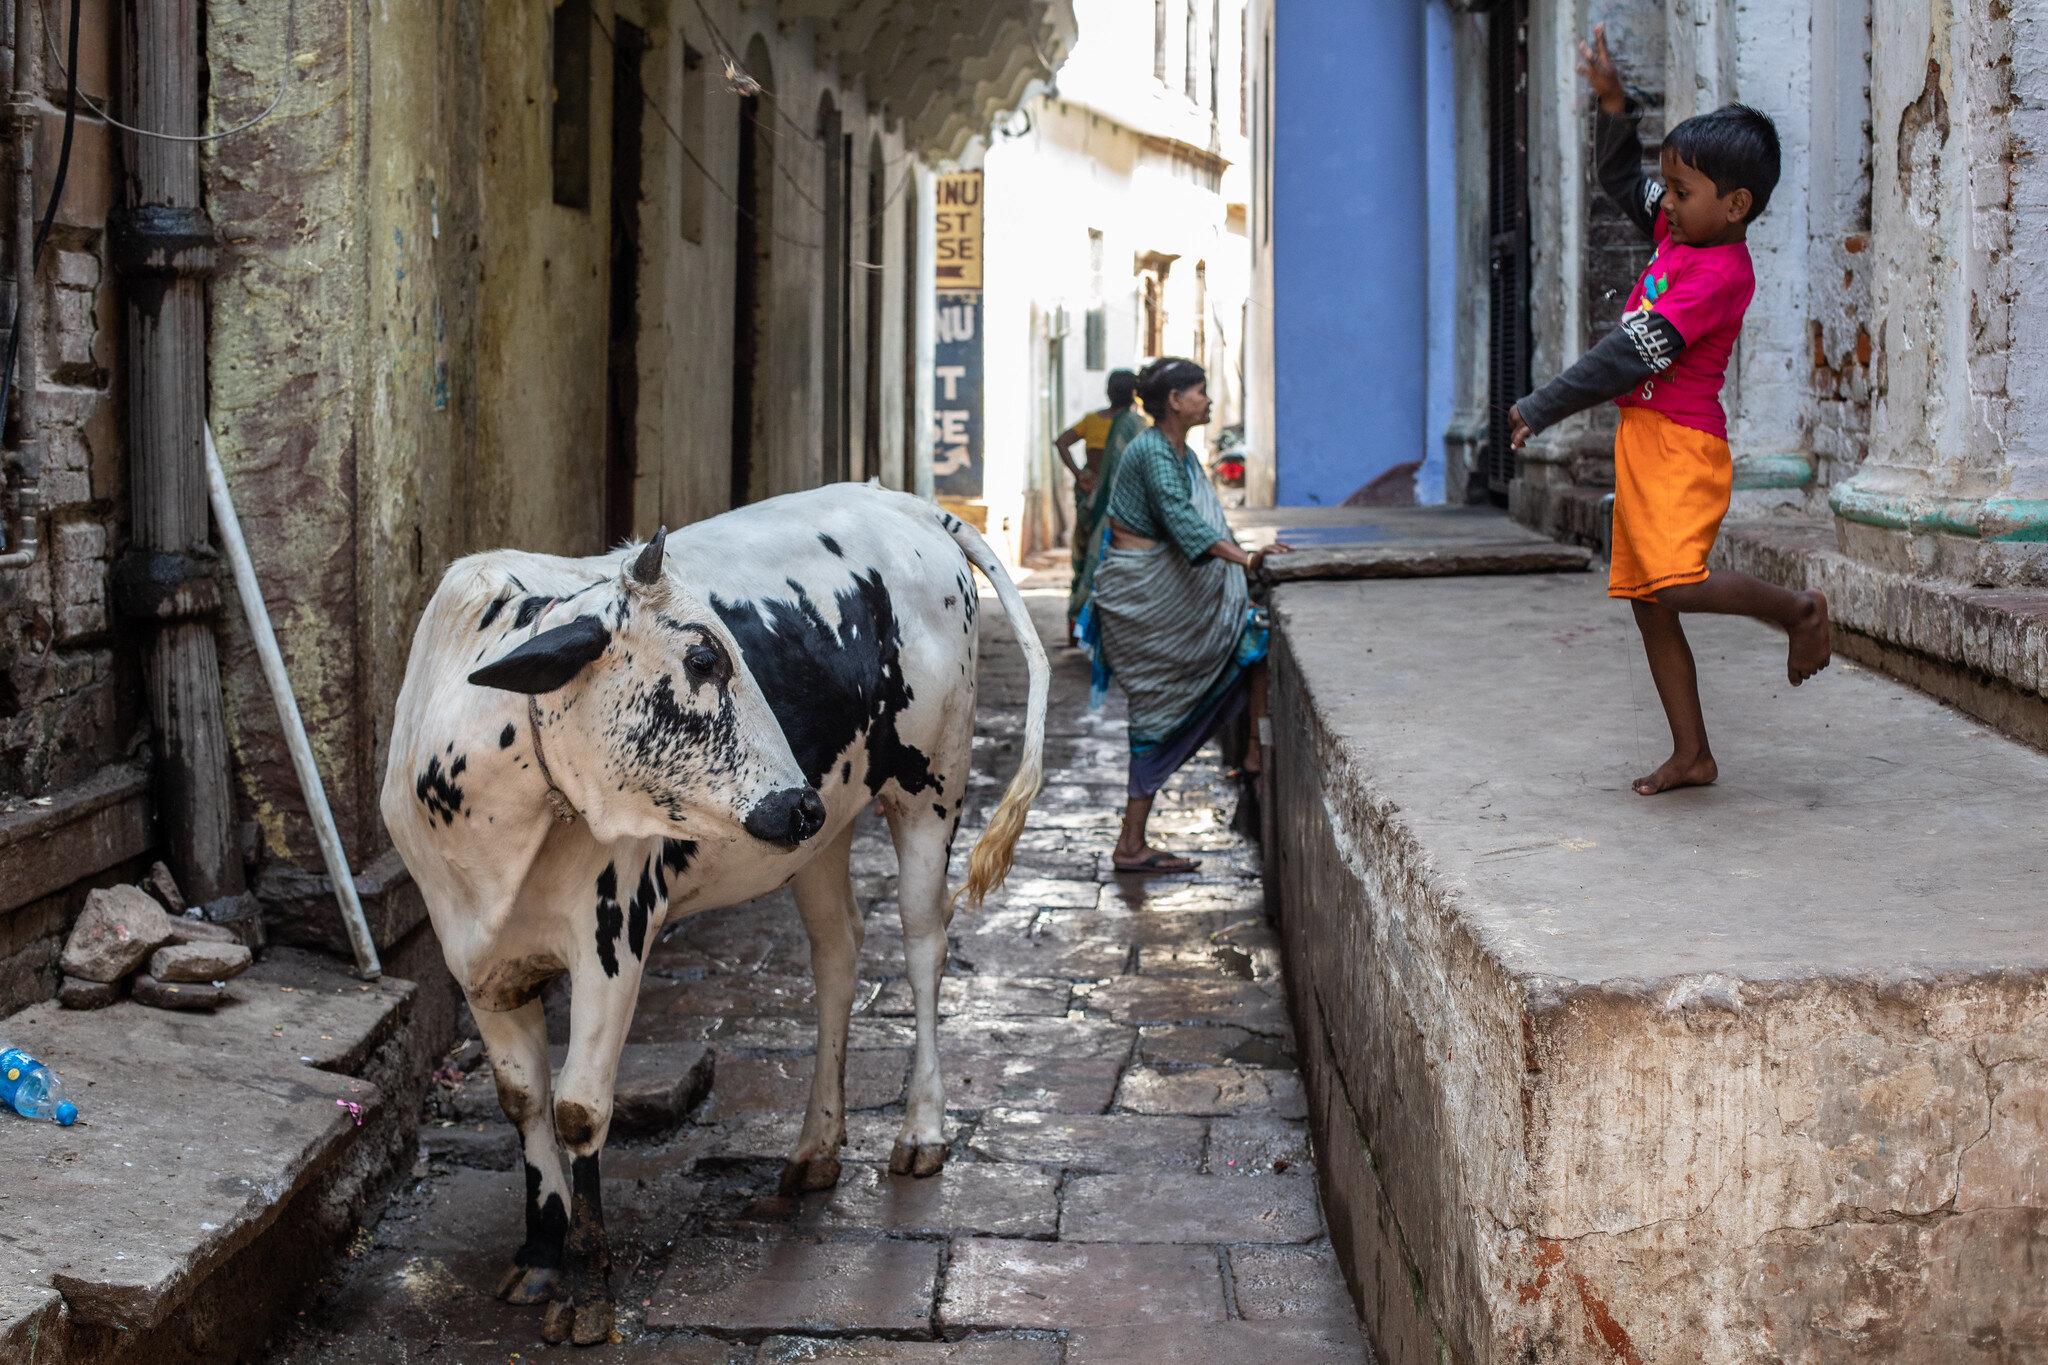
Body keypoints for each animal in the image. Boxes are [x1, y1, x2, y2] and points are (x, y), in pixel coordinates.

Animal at [382, 489, 1048, 1342]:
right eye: (703, 660)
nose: (795, 799)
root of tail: (898, 500)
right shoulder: (476, 961)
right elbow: (523, 1100)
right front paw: (539, 1253)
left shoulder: (612, 938)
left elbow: (577, 1108)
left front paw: (589, 1285)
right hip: (826, 831)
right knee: (838, 951)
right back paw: (815, 1146)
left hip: (928, 786)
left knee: (923, 946)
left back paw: (921, 1129)